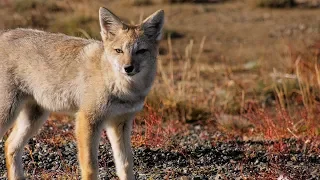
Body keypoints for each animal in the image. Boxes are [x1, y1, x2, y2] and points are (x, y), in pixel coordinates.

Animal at [0, 6, 165, 179]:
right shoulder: (86, 119)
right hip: (9, 114)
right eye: (118, 50)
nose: (128, 68)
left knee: (10, 145)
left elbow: (125, 165)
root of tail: (5, 33)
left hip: (34, 118)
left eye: (141, 51)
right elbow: (90, 167)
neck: (124, 90)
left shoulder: (120, 123)